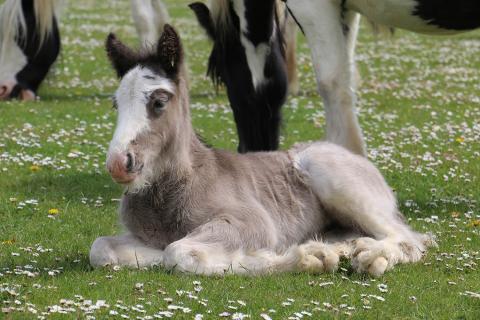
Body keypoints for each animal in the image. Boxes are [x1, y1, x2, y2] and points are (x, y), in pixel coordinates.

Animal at [88, 25, 434, 276]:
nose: (119, 163)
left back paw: (372, 257)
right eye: (116, 104)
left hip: (337, 181)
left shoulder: (252, 223)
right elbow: (103, 249)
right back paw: (346, 248)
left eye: (159, 102)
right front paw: (317, 254)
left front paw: (308, 258)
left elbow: (179, 252)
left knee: (409, 238)